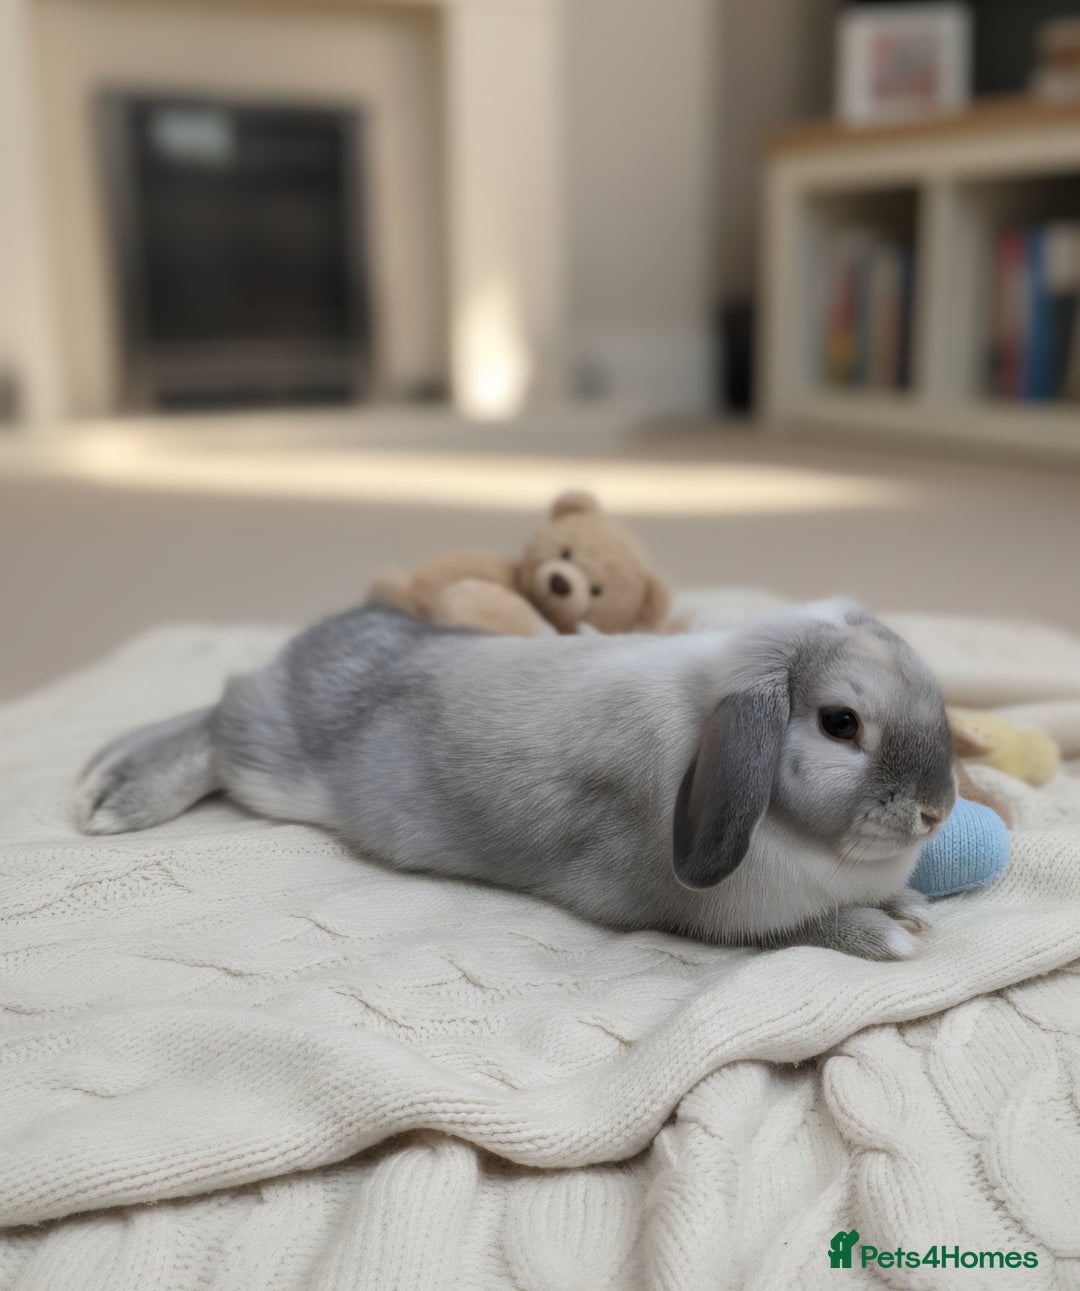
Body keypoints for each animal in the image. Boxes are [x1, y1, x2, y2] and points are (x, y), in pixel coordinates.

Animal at [74, 597, 956, 960]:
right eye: (840, 723)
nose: (938, 810)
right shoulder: (706, 916)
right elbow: (796, 929)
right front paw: (886, 934)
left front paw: (909, 906)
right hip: (269, 758)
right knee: (218, 716)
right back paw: (112, 794)